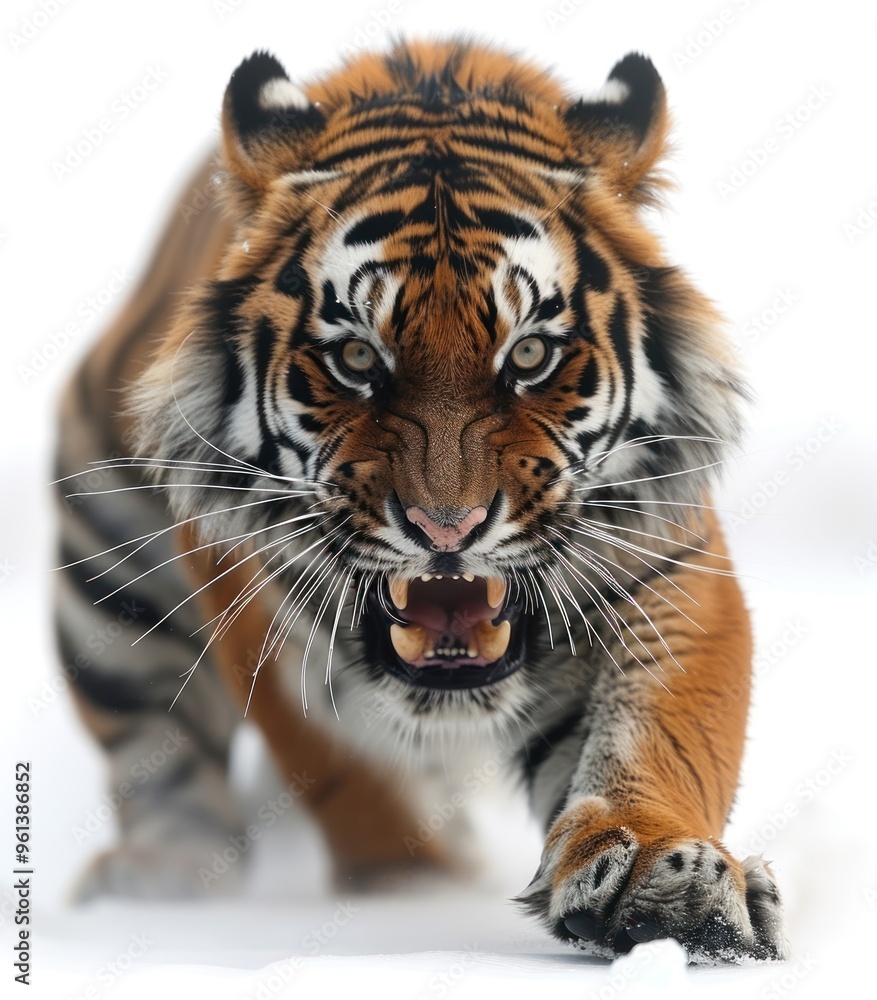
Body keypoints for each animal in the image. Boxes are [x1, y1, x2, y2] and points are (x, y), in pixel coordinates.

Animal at [54, 38, 787, 963]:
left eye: (530, 354)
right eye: (358, 359)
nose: (448, 526)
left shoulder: (665, 574)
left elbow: (660, 733)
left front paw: (663, 884)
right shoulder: (267, 626)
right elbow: (363, 789)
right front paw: (416, 905)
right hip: (101, 579)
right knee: (162, 758)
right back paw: (157, 883)